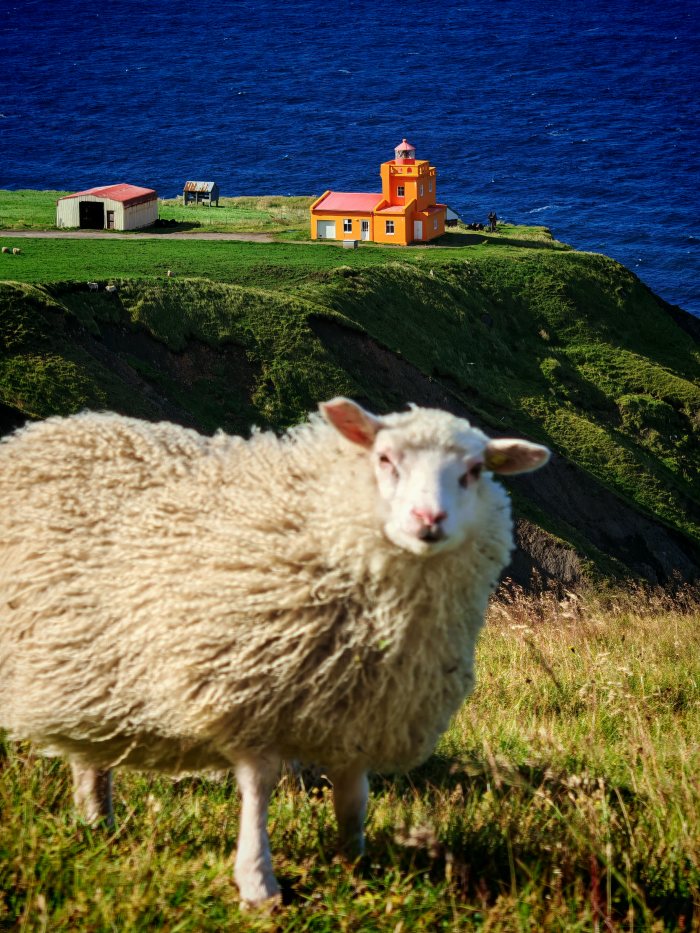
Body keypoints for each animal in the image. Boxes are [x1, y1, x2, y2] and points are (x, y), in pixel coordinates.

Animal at [0, 398, 549, 908]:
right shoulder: (254, 691)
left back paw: (99, 821)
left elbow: (354, 794)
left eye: (474, 471)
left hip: (90, 667)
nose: (428, 519)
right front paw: (258, 882)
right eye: (385, 458)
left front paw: (355, 860)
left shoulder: (363, 709)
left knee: (90, 757)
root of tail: (55, 427)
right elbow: (258, 790)